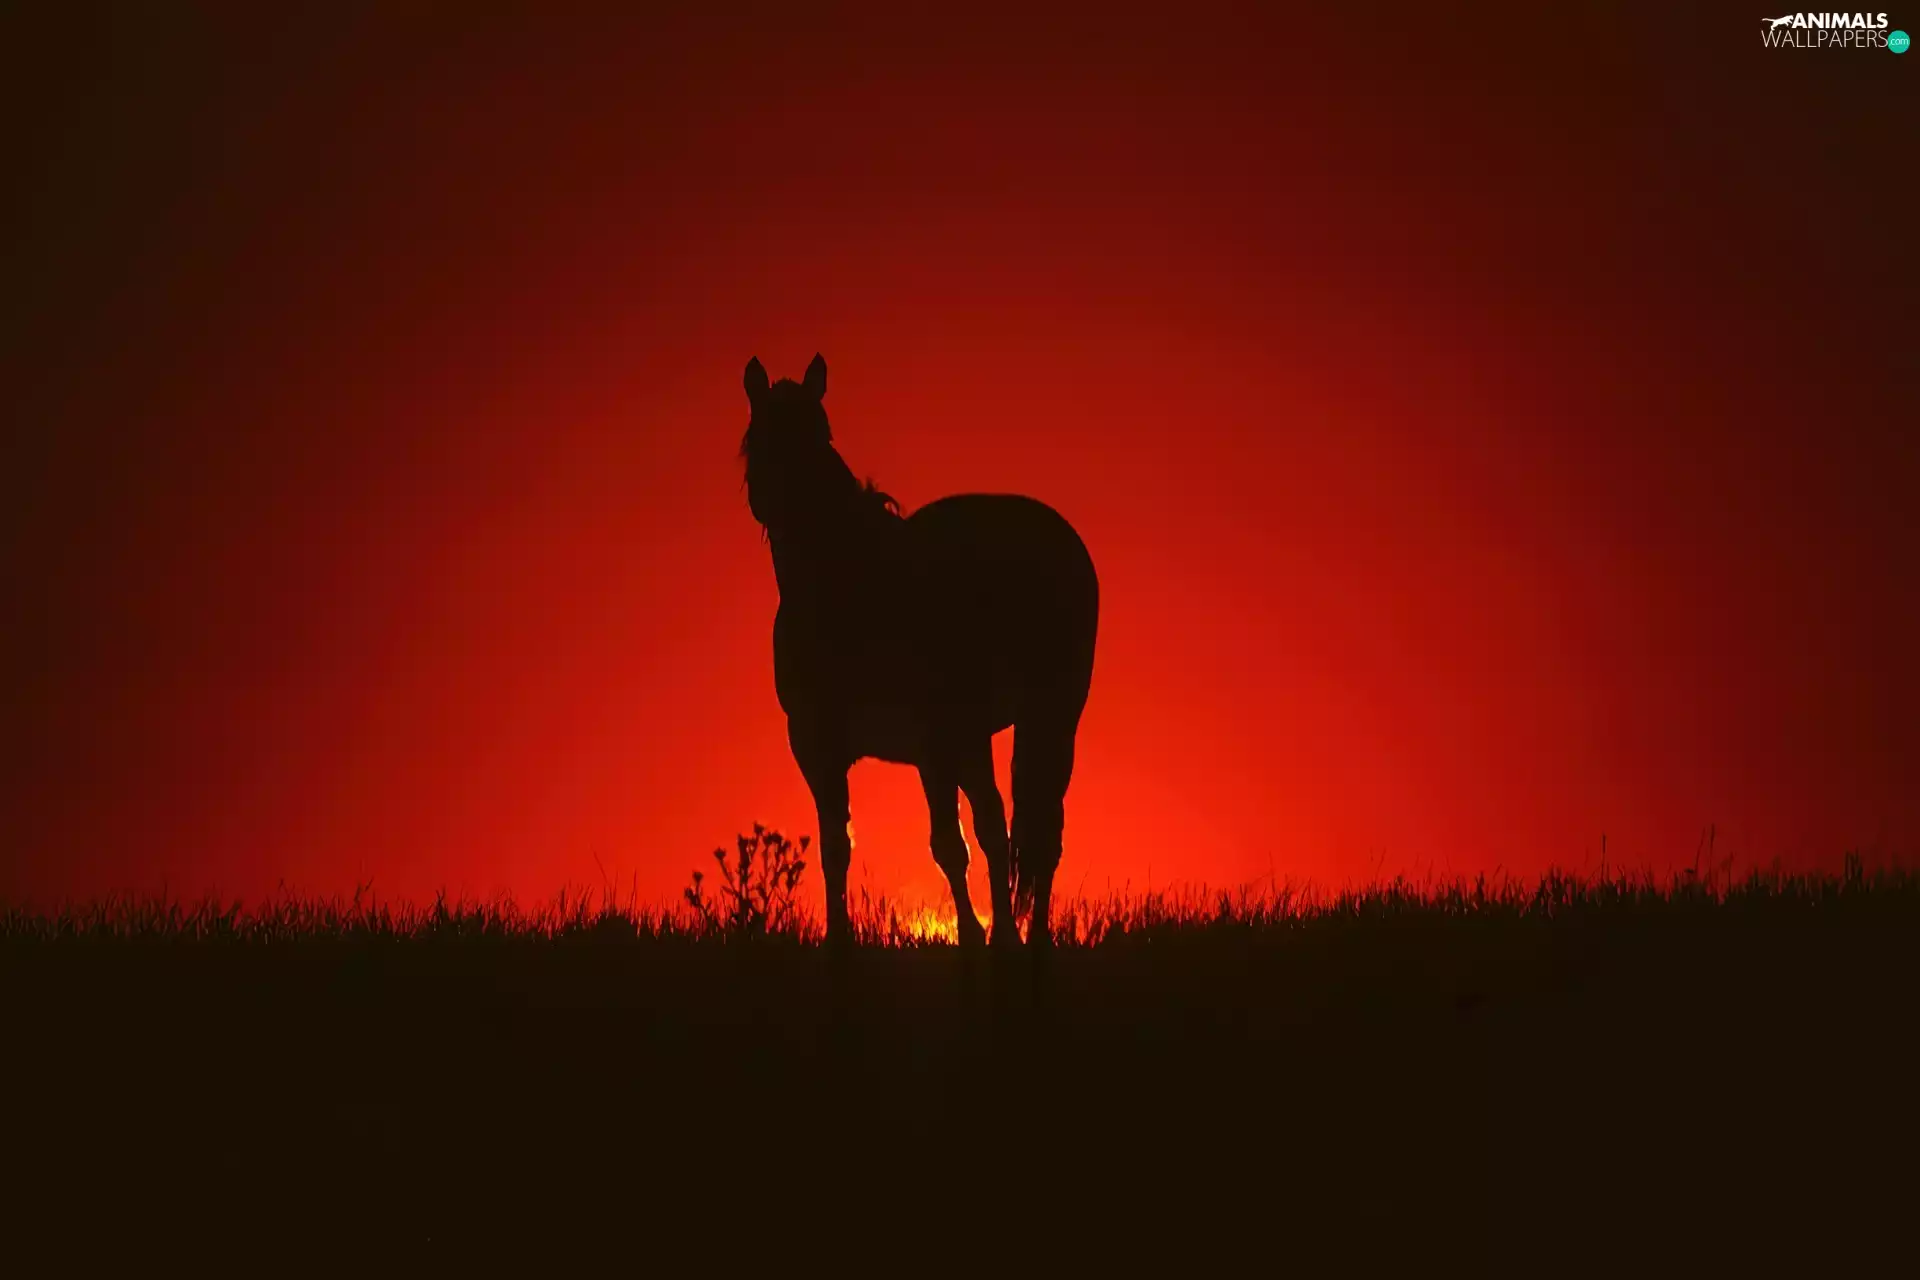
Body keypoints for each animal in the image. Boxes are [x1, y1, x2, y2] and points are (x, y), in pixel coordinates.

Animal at [739, 353, 1098, 948]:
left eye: (821, 434)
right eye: (759, 436)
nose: (789, 511)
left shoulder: (950, 734)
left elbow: (974, 835)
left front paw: (991, 938)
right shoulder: (820, 746)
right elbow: (842, 847)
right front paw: (841, 940)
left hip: (1049, 718)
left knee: (1036, 829)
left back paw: (1034, 938)